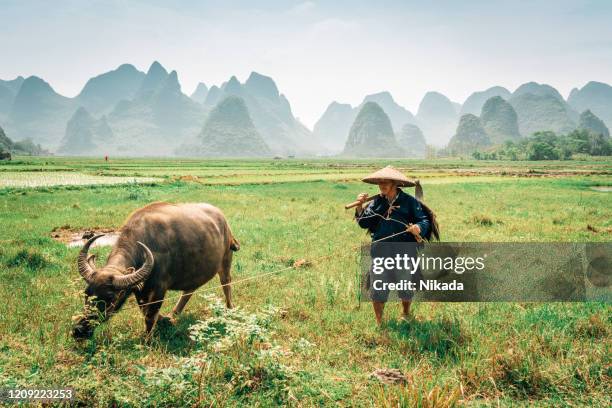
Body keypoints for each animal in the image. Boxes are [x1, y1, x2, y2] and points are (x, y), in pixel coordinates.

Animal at [72, 202, 239, 340]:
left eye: (110, 297)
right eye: (86, 294)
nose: (79, 330)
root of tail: (224, 221)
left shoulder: (160, 288)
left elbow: (150, 315)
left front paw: (147, 338)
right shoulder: (140, 289)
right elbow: (144, 310)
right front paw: (165, 320)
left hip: (226, 261)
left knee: (226, 283)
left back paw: (230, 308)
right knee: (189, 290)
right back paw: (174, 314)